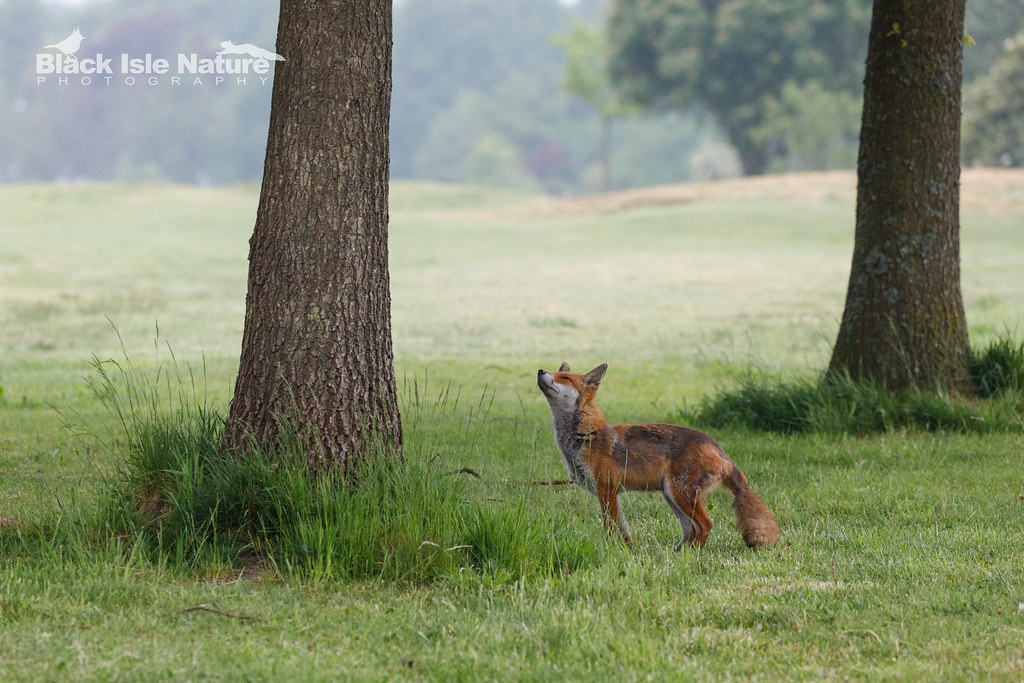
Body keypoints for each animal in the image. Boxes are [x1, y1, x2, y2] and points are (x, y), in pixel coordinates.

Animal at [537, 362, 779, 550]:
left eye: (565, 378)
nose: (540, 371)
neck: (586, 437)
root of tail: (718, 448)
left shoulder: (607, 490)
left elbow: (610, 527)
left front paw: (610, 550)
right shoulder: (612, 494)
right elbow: (623, 530)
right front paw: (628, 550)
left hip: (680, 494)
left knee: (706, 525)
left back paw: (692, 554)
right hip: (672, 497)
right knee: (690, 528)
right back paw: (679, 552)